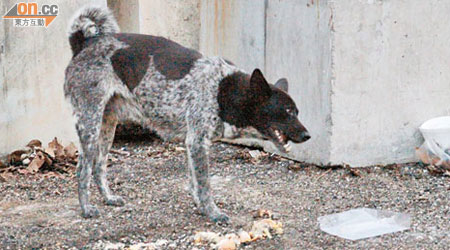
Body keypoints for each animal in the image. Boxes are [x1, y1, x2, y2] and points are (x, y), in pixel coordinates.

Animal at [64, 6, 310, 223]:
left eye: (297, 111)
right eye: (287, 111)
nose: (308, 135)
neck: (223, 90)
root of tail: (83, 43)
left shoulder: (193, 143)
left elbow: (194, 182)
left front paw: (202, 207)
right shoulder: (198, 142)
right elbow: (204, 184)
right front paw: (213, 213)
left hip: (107, 126)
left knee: (99, 166)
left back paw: (108, 198)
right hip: (90, 125)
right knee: (82, 169)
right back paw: (86, 208)